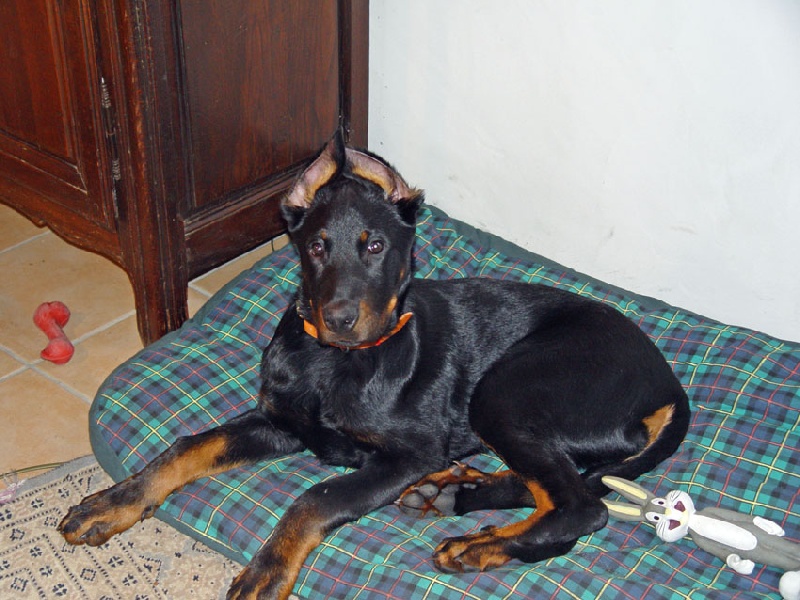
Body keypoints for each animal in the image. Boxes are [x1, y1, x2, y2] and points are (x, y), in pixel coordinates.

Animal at [59, 132, 690, 600]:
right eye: (316, 247)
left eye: (376, 246)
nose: (339, 318)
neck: (332, 362)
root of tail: (668, 384)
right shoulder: (283, 423)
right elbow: (188, 446)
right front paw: (109, 505)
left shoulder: (408, 451)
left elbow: (316, 496)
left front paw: (266, 571)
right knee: (561, 485)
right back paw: (449, 494)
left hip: (505, 392)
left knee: (582, 506)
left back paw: (477, 543)